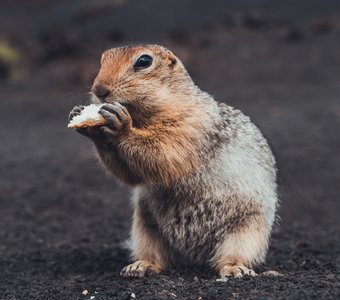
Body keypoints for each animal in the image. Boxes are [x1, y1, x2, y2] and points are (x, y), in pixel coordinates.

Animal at [67, 44, 278, 278]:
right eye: (102, 59)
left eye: (144, 61)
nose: (99, 90)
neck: (144, 118)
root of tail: (192, 258)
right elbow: (130, 175)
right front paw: (86, 122)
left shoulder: (191, 123)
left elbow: (166, 151)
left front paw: (122, 127)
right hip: (145, 229)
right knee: (158, 259)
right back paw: (141, 266)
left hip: (247, 231)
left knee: (232, 256)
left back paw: (235, 269)